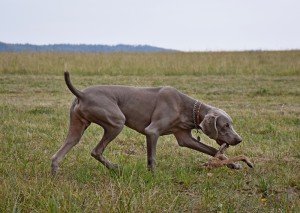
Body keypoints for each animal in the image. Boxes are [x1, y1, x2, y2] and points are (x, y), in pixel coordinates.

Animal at [51, 71, 244, 175]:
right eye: (225, 126)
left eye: (231, 124)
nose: (239, 140)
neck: (188, 108)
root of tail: (82, 93)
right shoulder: (152, 131)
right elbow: (152, 157)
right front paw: (154, 176)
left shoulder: (184, 138)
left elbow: (213, 151)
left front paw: (233, 164)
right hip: (117, 122)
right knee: (96, 151)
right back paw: (116, 169)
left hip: (78, 127)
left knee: (58, 154)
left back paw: (55, 177)